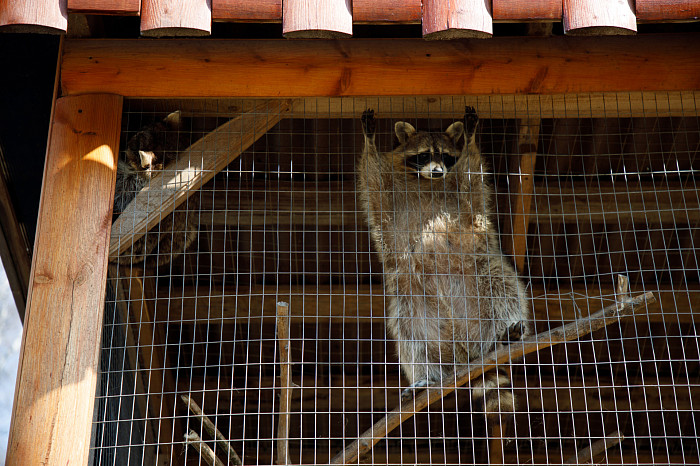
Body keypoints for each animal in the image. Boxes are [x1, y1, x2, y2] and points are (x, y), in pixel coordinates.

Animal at [358, 107, 532, 420]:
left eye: (446, 157)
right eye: (424, 155)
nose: (438, 171)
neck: (426, 181)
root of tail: (467, 350)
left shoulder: (466, 203)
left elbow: (471, 179)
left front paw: (472, 141)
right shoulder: (389, 200)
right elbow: (374, 181)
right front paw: (370, 142)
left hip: (479, 273)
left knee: (504, 286)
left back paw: (505, 336)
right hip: (412, 296)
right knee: (412, 336)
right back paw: (428, 375)